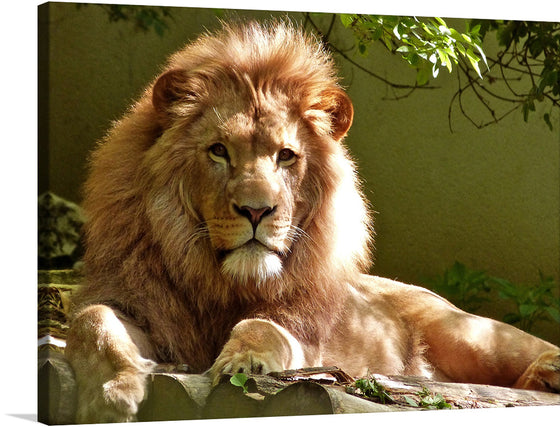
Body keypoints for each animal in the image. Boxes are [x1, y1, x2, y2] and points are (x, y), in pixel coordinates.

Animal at [66, 20, 560, 424]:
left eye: (286, 156)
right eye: (219, 151)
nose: (257, 211)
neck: (220, 281)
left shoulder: (306, 338)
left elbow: (261, 328)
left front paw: (244, 363)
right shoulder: (134, 300)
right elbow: (92, 321)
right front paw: (111, 393)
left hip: (469, 334)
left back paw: (548, 371)